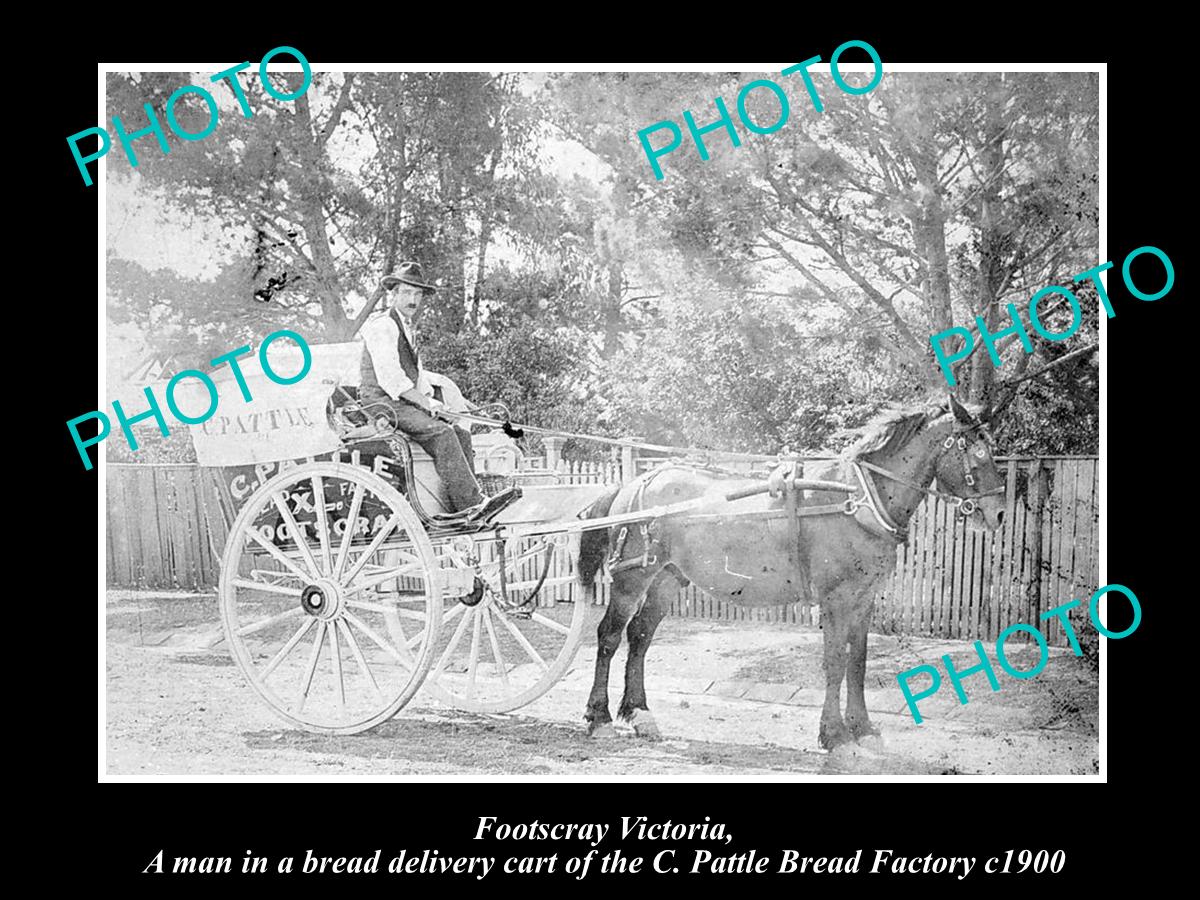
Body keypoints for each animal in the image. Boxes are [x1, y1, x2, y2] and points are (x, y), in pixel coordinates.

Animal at [576, 398, 1008, 748]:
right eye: (978, 452)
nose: (999, 513)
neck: (857, 500)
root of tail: (633, 483)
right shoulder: (836, 599)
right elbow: (835, 662)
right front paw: (835, 734)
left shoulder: (864, 599)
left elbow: (858, 662)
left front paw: (862, 727)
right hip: (632, 579)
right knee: (609, 635)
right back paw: (599, 716)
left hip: (667, 578)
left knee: (640, 636)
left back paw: (639, 713)